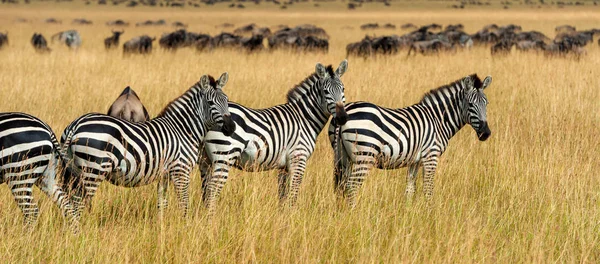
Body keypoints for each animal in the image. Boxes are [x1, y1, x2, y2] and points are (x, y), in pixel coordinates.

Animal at [61, 73, 237, 220]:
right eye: (210, 103)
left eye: (226, 99)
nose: (231, 127)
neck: (183, 129)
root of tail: (76, 124)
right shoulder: (181, 170)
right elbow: (184, 204)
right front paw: (186, 226)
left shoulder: (164, 174)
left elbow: (162, 203)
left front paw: (161, 228)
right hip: (93, 169)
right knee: (77, 203)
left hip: (73, 171)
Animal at [203, 59, 350, 214]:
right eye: (326, 91)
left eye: (343, 89)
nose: (342, 118)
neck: (304, 118)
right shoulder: (298, 158)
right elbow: (293, 194)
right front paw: (292, 216)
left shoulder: (284, 166)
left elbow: (283, 195)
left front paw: (283, 216)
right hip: (224, 156)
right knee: (212, 191)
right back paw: (212, 218)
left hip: (207, 159)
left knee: (206, 191)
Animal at [328, 73, 492, 206]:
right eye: (470, 105)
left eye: (487, 103)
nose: (486, 133)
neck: (438, 119)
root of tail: (345, 112)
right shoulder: (431, 156)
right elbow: (428, 189)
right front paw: (429, 214)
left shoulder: (415, 161)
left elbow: (410, 190)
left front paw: (408, 213)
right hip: (365, 155)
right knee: (351, 186)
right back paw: (353, 213)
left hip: (343, 157)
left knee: (341, 186)